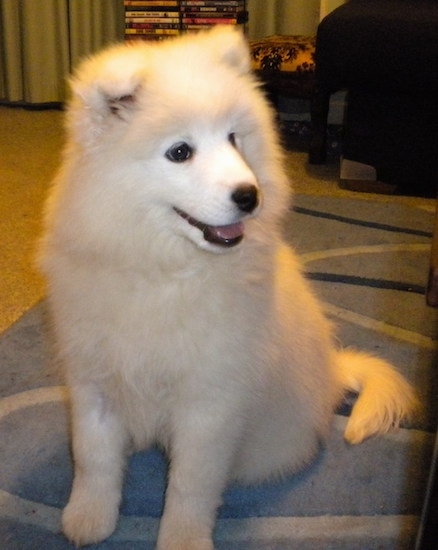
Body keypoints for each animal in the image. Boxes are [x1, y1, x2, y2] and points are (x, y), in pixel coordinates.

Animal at [38, 25, 418, 550]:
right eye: (180, 152)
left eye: (234, 139)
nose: (249, 196)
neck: (165, 269)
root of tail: (332, 372)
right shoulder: (95, 379)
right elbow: (93, 458)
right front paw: (88, 519)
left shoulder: (210, 402)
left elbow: (190, 485)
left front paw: (182, 539)